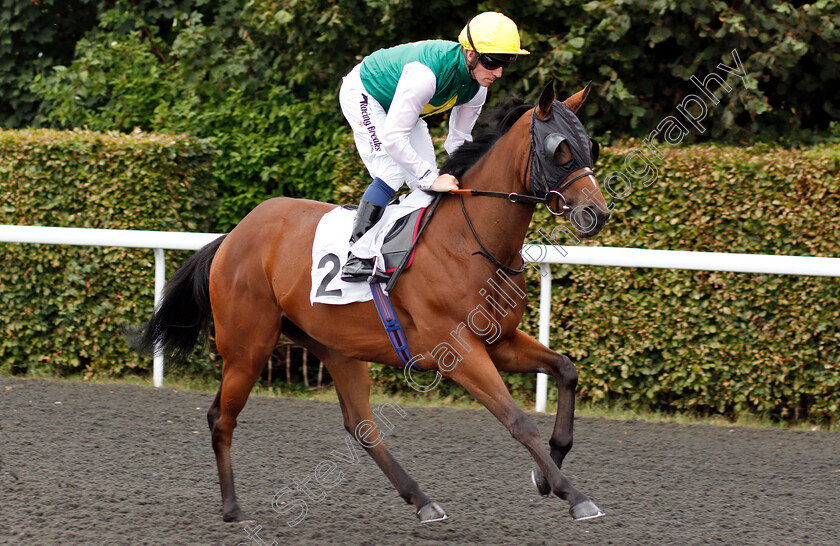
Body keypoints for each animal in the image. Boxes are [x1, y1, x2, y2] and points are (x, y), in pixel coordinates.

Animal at [131, 83, 612, 520]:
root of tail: (233, 235)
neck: (468, 241)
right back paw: (232, 508)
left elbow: (566, 370)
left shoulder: (500, 341)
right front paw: (573, 494)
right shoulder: (459, 352)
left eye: (591, 146)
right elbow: (518, 420)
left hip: (337, 348)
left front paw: (547, 473)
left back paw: (422, 500)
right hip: (247, 348)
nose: (597, 213)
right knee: (221, 417)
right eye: (561, 150)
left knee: (361, 426)